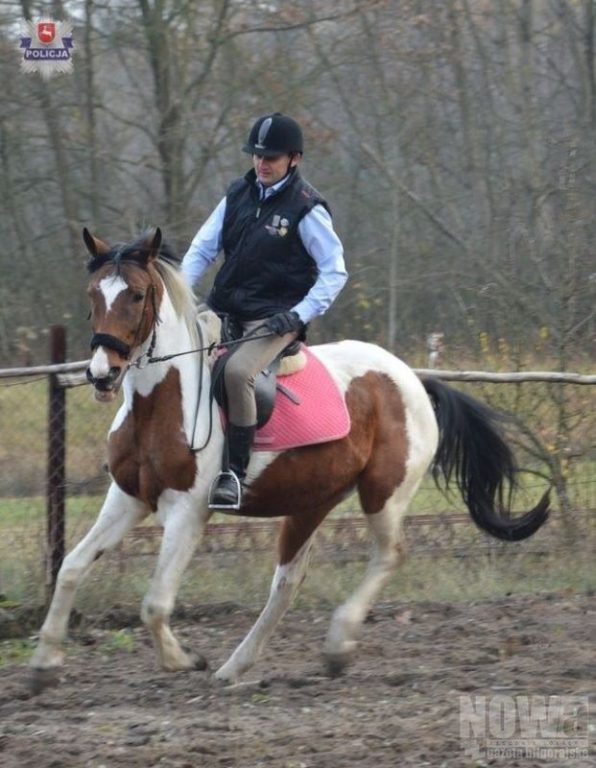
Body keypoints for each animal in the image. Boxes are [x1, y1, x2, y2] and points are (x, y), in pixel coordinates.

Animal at [29, 228, 548, 688]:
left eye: (136, 296)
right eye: (93, 294)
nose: (102, 374)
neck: (163, 400)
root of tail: (413, 379)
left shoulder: (187, 513)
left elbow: (154, 603)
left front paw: (184, 659)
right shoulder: (128, 497)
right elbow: (71, 567)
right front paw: (45, 664)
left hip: (384, 495)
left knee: (390, 555)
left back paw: (336, 646)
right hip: (312, 501)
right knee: (289, 581)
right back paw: (236, 667)